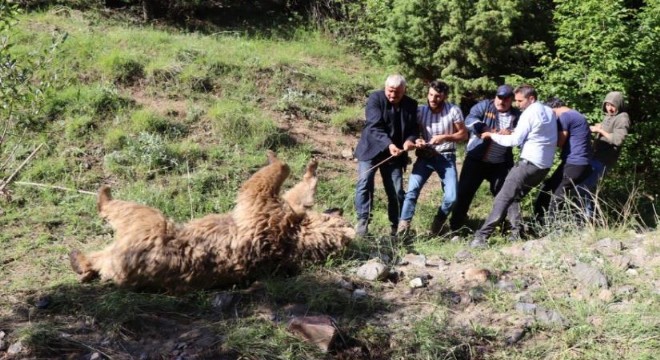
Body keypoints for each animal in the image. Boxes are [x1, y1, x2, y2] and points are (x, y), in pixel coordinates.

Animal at [69, 150, 354, 292]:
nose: (340, 210)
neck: (296, 239)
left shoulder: (265, 212)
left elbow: (262, 184)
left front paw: (275, 158)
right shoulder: (286, 213)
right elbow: (299, 195)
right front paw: (311, 168)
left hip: (147, 232)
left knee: (131, 211)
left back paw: (103, 199)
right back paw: (84, 265)